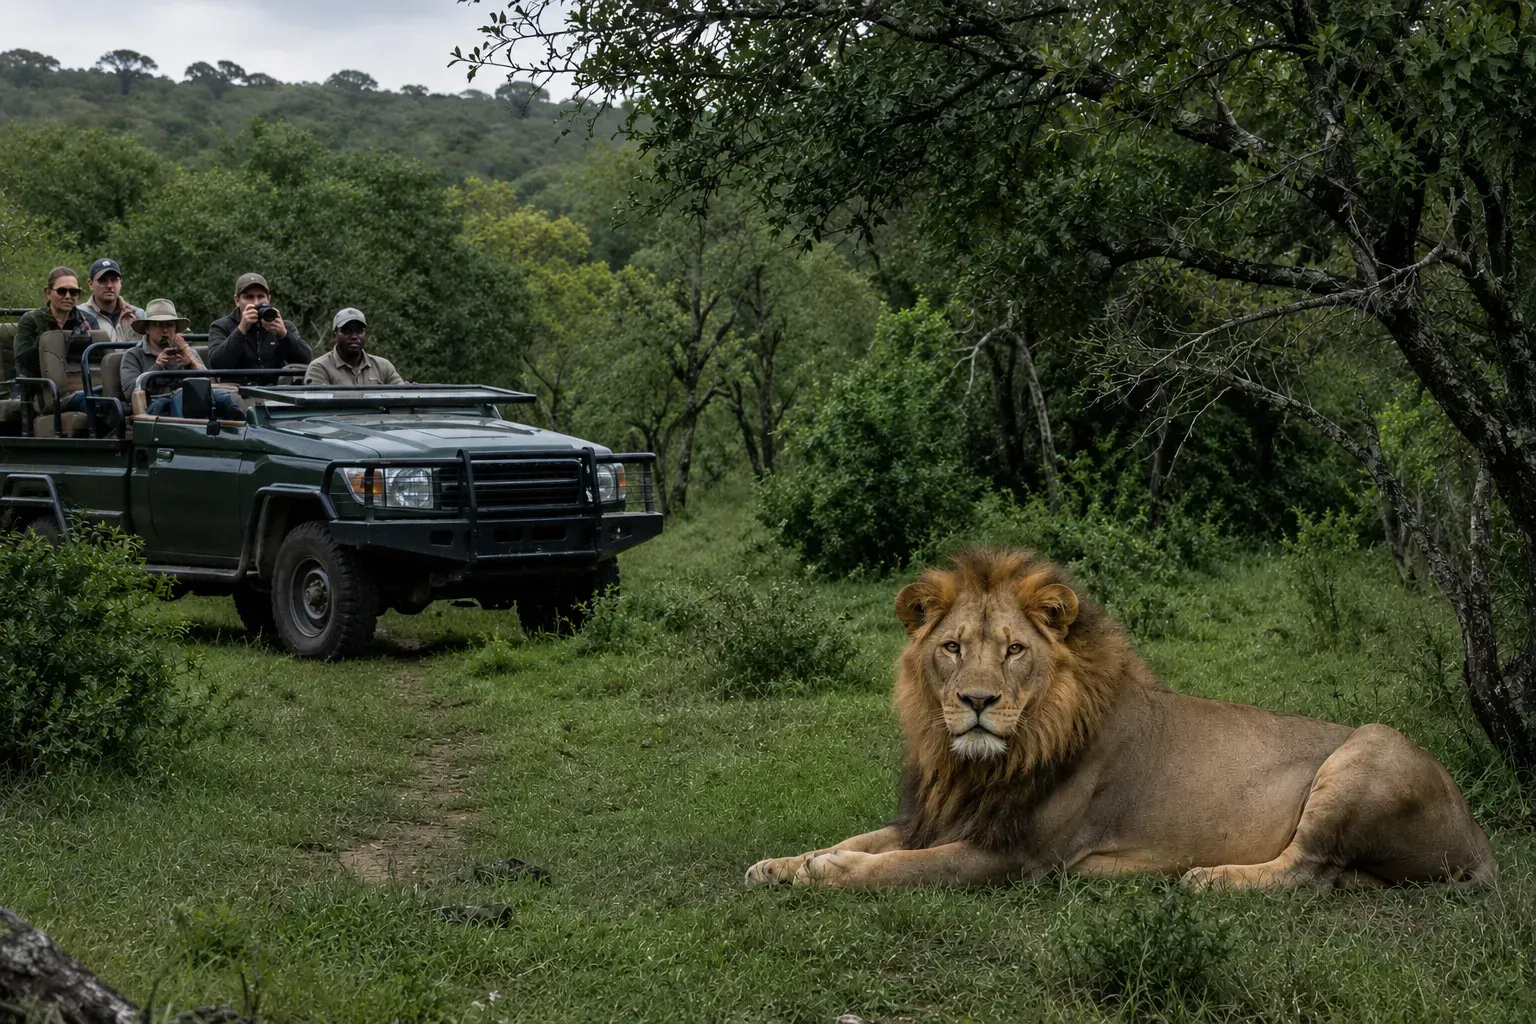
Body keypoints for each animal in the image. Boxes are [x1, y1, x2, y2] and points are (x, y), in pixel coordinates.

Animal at [746, 548, 1497, 891]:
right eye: (953, 648)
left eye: (1014, 651)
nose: (977, 702)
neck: (975, 767)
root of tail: (1479, 839)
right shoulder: (933, 816)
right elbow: (868, 838)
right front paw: (780, 863)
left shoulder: (1014, 855)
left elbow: (900, 869)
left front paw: (826, 871)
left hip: (1367, 751)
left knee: (1306, 869)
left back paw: (1210, 879)